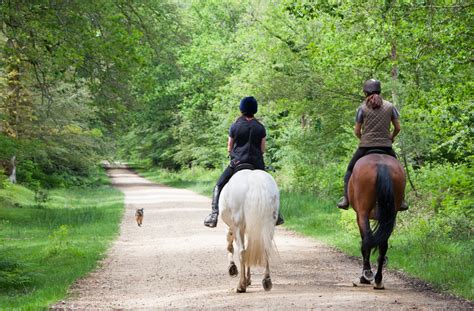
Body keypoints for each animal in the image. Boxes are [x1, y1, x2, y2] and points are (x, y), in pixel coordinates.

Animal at [348, 153, 404, 290]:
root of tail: (381, 164)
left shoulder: (359, 215)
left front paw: (364, 276)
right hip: (391, 215)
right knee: (383, 245)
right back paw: (378, 280)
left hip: (363, 213)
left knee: (367, 240)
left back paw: (367, 274)